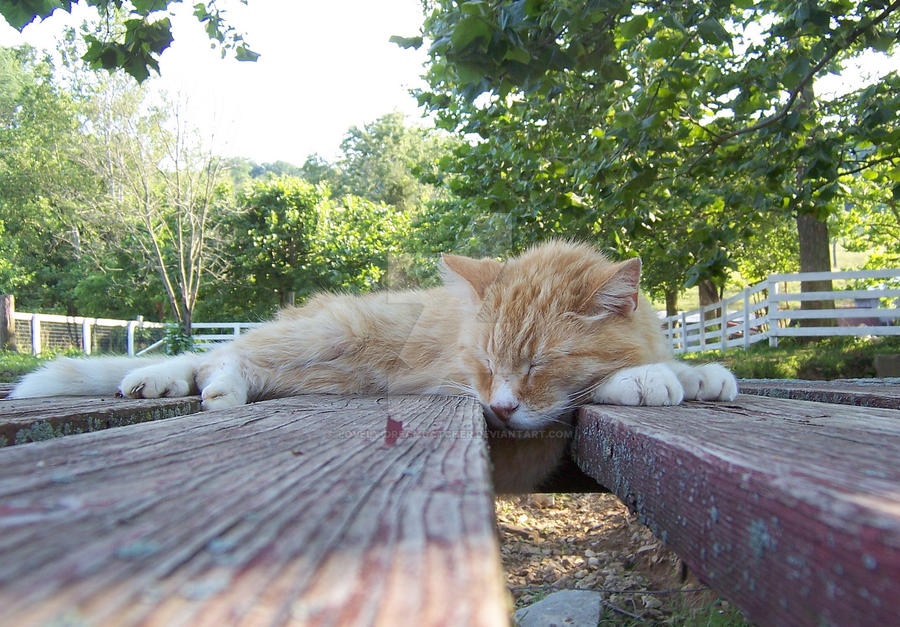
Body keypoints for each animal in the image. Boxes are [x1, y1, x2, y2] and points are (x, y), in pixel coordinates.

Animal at [10, 243, 736, 494]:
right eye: (483, 364)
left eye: (538, 363)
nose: (500, 407)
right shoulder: (510, 431)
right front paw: (644, 378)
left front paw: (695, 372)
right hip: (325, 335)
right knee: (223, 355)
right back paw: (194, 384)